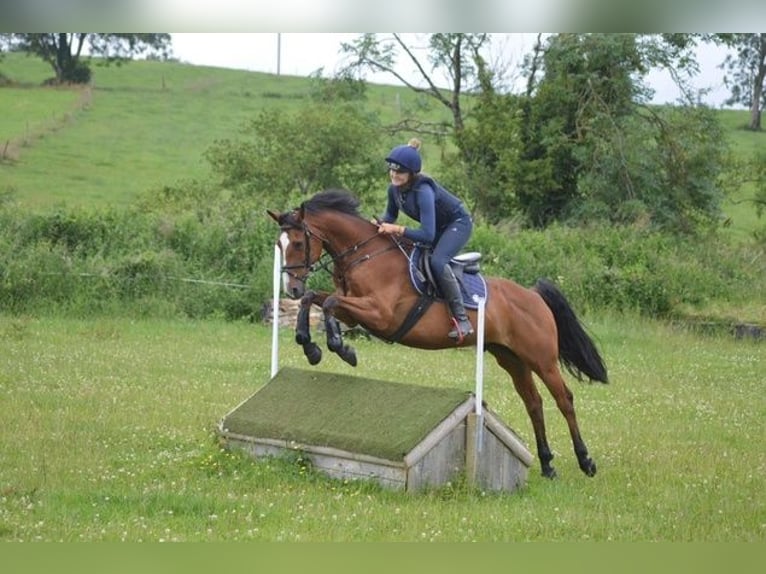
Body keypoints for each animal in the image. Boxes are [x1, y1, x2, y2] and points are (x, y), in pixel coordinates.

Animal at [270, 189, 612, 482]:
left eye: (298, 243)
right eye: (279, 245)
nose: (291, 287)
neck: (366, 255)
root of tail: (533, 295)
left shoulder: (380, 314)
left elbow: (328, 302)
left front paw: (340, 348)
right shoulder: (353, 312)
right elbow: (316, 299)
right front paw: (310, 345)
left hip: (541, 358)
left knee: (564, 399)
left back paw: (585, 461)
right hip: (511, 358)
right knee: (534, 403)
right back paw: (547, 464)